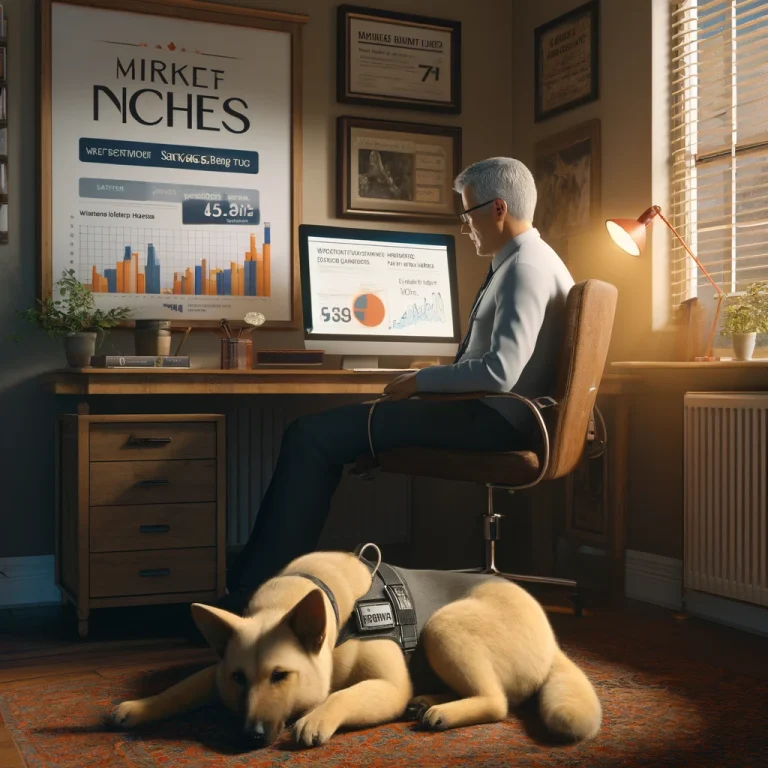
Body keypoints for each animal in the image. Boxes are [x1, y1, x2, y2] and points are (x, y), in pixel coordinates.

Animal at [109, 548, 600, 748]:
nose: (251, 737)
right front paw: (139, 707)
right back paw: (429, 699)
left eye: (280, 676)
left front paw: (315, 718)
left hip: (443, 626)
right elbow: (184, 687)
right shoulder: (215, 672)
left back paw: (441, 710)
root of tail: (553, 641)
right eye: (238, 679)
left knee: (497, 701)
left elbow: (342, 694)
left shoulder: (386, 685)